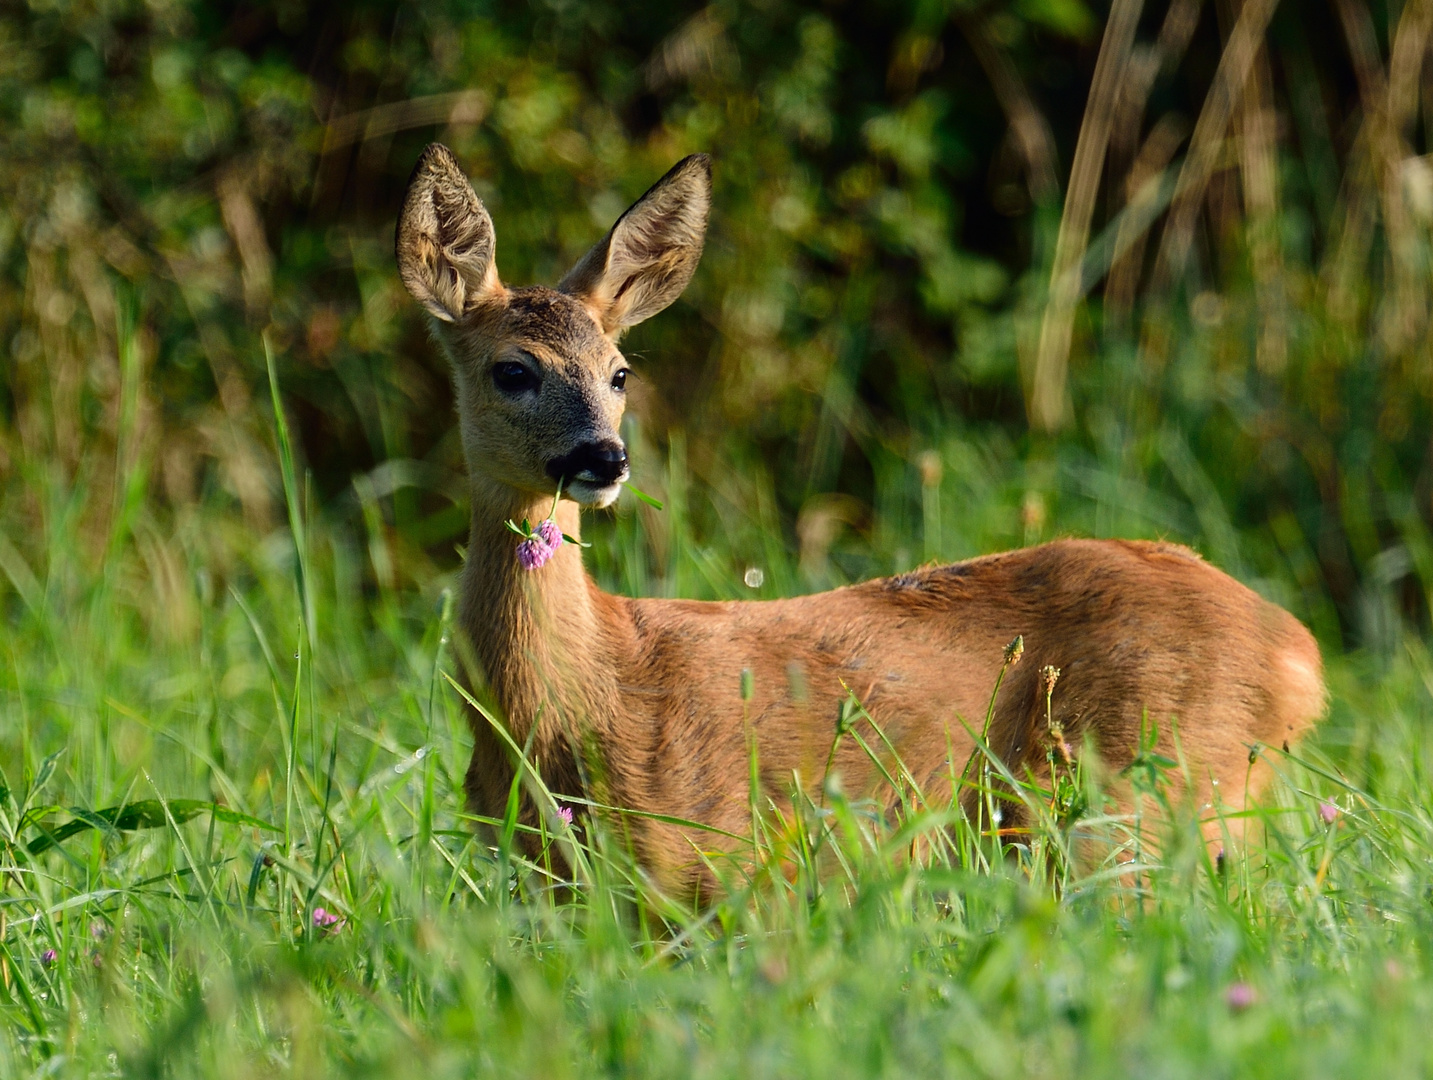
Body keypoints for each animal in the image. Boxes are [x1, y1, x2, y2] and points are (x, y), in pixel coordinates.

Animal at [392, 145, 1318, 899]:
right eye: (513, 370)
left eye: (619, 372)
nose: (603, 458)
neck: (582, 696)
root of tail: (1296, 653)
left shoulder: (719, 864)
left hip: (1134, 791)